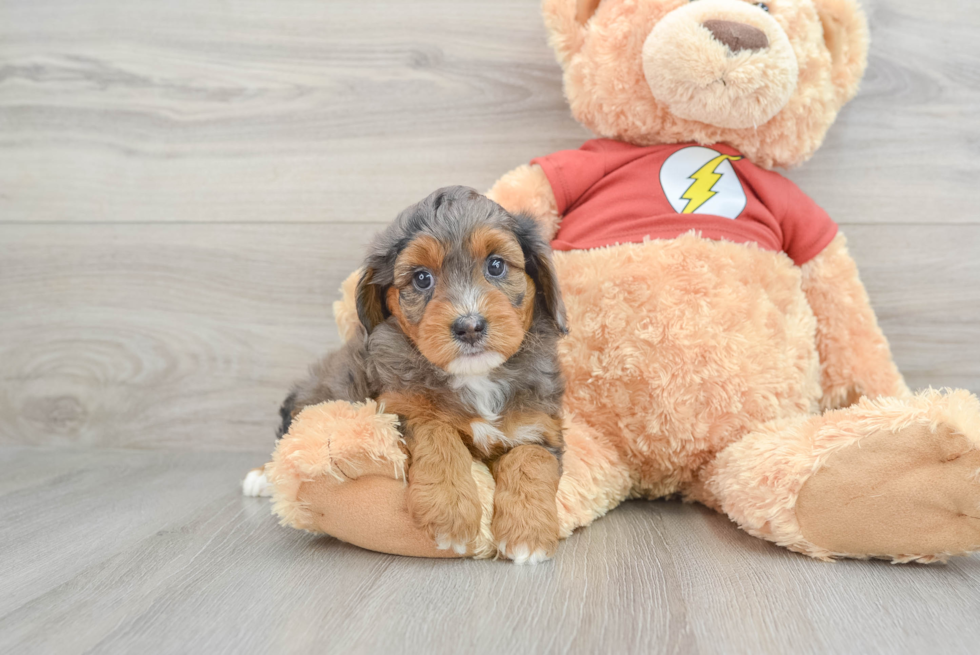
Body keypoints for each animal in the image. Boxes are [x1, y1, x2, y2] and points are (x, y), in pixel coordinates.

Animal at [247, 186, 568, 564]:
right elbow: (437, 433)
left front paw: (528, 534)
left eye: (496, 265)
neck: (476, 377)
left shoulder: (538, 425)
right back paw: (261, 477)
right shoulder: (399, 405)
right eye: (421, 278)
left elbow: (530, 460)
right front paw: (449, 512)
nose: (469, 326)